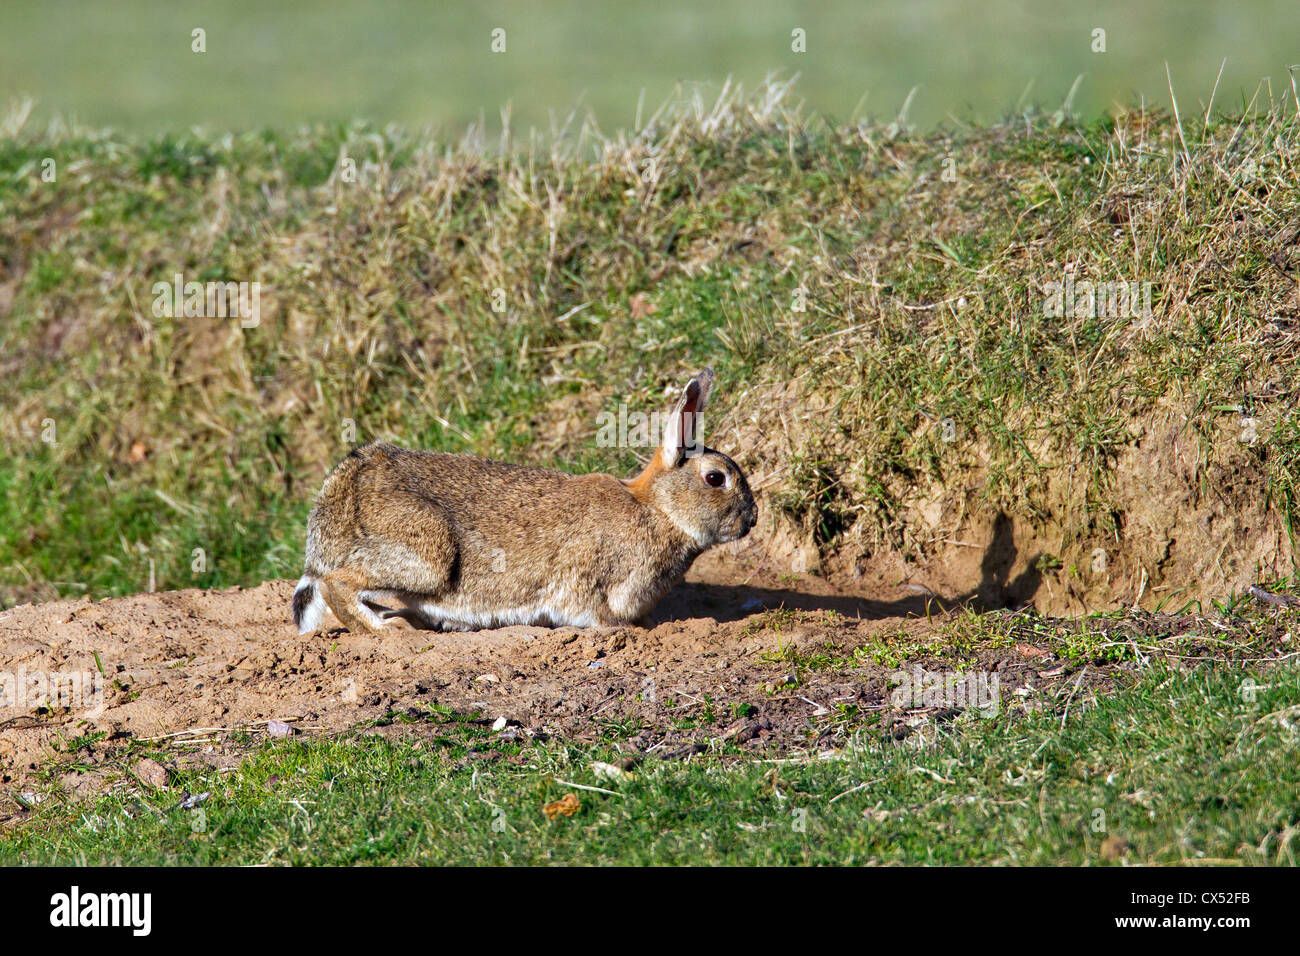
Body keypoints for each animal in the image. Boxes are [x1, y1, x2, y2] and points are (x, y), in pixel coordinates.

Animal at [292, 368, 756, 634]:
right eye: (716, 478)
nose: (751, 520)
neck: (659, 510)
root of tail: (347, 484)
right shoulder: (592, 581)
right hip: (427, 553)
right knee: (336, 584)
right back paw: (386, 632)